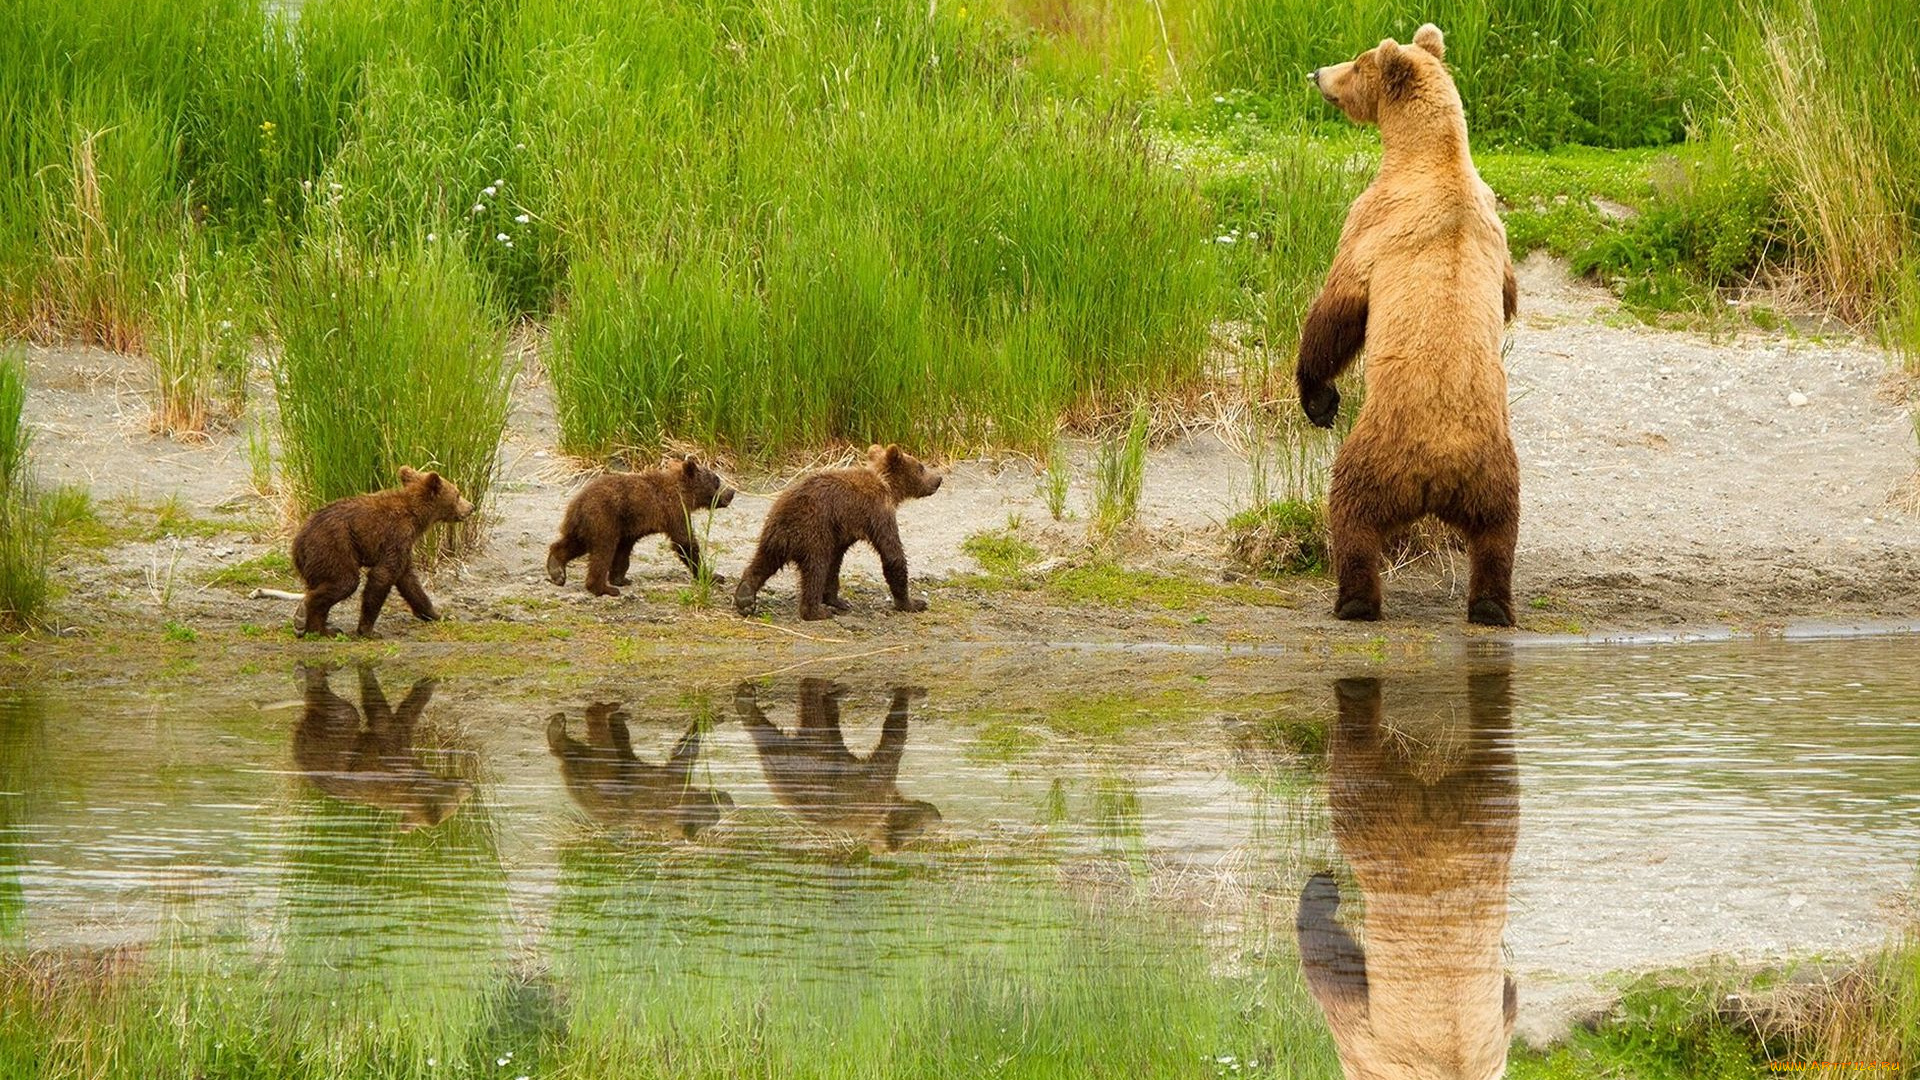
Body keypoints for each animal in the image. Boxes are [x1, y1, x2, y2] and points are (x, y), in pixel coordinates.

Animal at [289, 465, 474, 634]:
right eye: (458, 494)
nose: (471, 507)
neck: (417, 516)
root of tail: (298, 541)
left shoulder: (405, 546)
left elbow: (409, 581)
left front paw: (437, 614)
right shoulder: (397, 535)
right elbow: (383, 574)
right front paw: (367, 630)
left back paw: (319, 626)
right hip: (333, 545)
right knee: (345, 581)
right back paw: (313, 623)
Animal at [556, 449, 741, 591]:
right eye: (717, 480)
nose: (731, 492)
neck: (685, 494)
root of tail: (577, 502)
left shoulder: (630, 527)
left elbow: (624, 551)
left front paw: (621, 578)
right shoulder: (675, 511)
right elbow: (685, 542)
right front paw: (712, 575)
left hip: (584, 525)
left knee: (573, 544)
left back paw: (556, 569)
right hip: (603, 518)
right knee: (603, 549)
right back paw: (600, 587)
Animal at [733, 441, 944, 618]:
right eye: (921, 466)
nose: (938, 479)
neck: (887, 486)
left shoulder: (840, 532)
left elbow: (835, 563)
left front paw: (837, 600)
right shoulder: (878, 511)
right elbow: (892, 554)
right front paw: (912, 603)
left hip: (773, 535)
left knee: (762, 562)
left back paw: (745, 597)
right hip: (813, 532)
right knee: (816, 567)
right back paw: (816, 611)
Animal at [1297, 23, 1520, 622]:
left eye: (1356, 63)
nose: (1317, 72)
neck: (1431, 157)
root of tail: (1439, 475)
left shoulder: (1374, 220)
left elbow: (1337, 310)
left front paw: (1318, 398)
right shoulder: (1496, 225)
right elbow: (1511, 296)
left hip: (1378, 453)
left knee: (1351, 513)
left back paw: (1354, 600)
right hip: (1496, 473)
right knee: (1499, 535)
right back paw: (1491, 606)